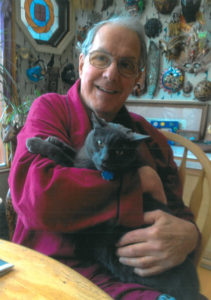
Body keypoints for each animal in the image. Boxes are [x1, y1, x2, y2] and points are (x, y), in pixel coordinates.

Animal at [26, 113, 199, 298]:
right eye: (100, 143)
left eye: (120, 151)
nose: (104, 159)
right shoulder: (82, 156)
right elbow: (72, 150)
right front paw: (54, 139)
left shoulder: (77, 171)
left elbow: (60, 156)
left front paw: (36, 143)